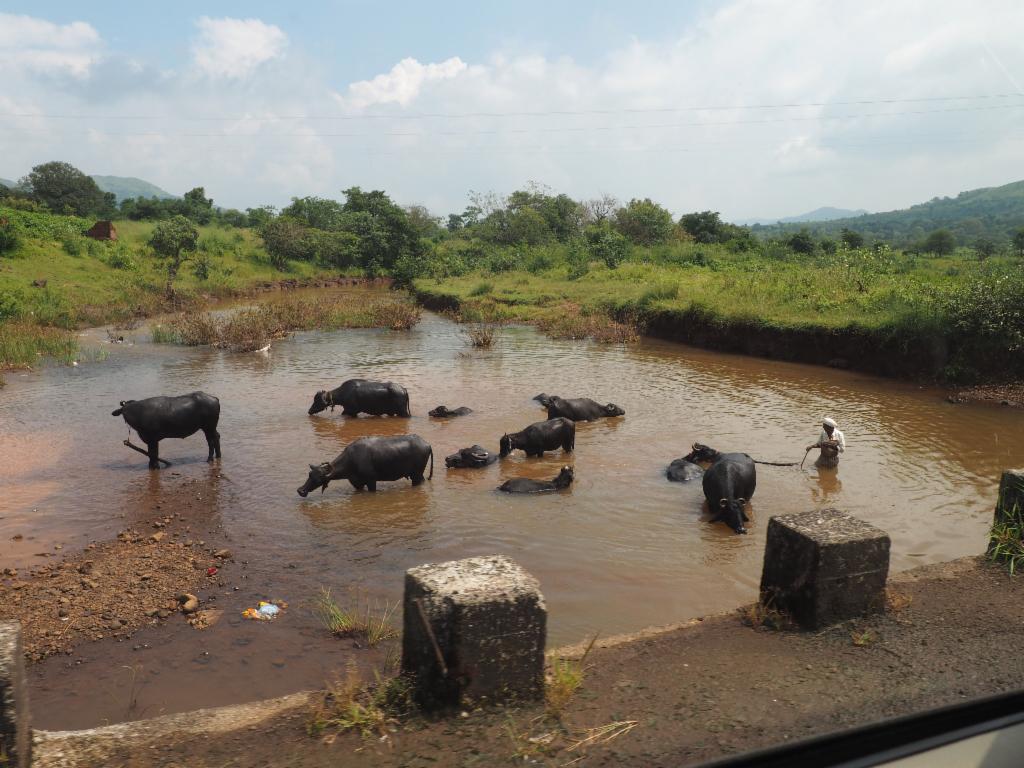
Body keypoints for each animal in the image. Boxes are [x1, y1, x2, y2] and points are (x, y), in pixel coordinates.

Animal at [299, 436, 436, 495]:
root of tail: (427, 444)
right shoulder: (357, 483)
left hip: (417, 475)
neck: (351, 460)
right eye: (309, 474)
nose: (301, 490)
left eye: (318, 479)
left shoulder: (371, 481)